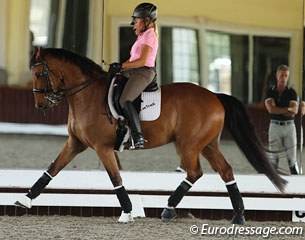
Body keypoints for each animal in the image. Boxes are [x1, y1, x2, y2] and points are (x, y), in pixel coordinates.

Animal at [14, 47, 286, 225]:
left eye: (38, 74)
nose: (40, 105)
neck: (86, 95)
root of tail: (215, 96)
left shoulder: (103, 148)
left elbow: (115, 179)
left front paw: (127, 212)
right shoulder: (75, 143)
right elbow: (52, 169)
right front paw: (25, 200)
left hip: (188, 145)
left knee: (194, 172)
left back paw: (168, 209)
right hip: (208, 145)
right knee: (226, 172)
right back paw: (238, 215)